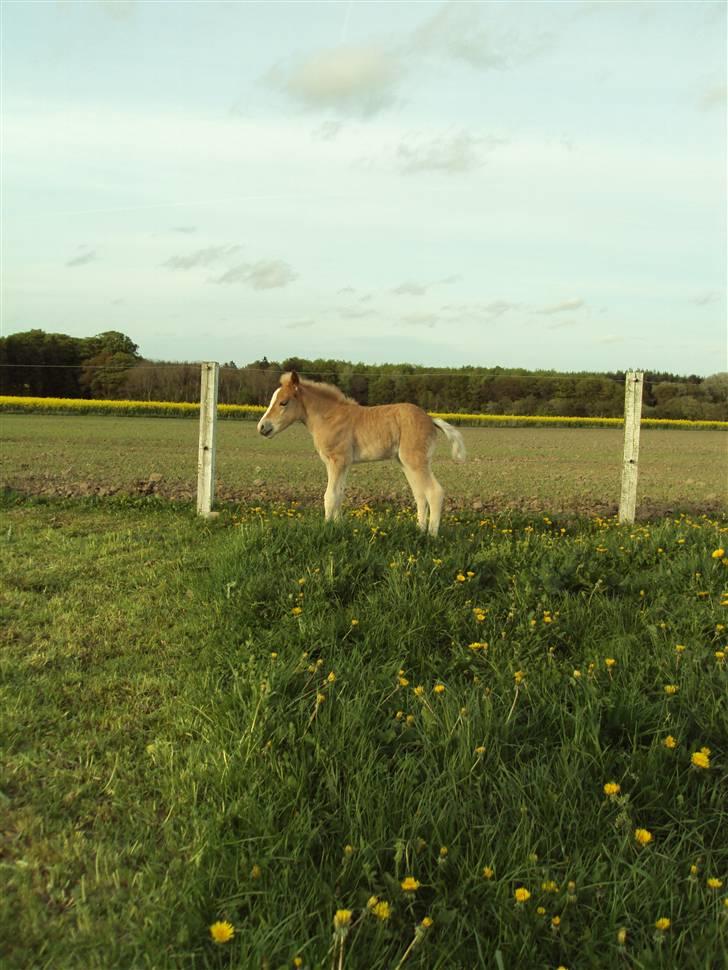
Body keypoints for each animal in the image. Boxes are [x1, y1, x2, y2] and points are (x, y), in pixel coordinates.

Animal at [258, 370, 466, 536]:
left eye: (283, 402)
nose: (262, 427)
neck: (328, 416)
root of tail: (431, 419)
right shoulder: (342, 464)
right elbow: (339, 494)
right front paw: (338, 526)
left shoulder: (337, 461)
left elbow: (329, 496)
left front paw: (327, 528)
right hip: (406, 463)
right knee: (420, 495)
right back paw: (419, 530)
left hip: (415, 462)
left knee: (434, 492)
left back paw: (431, 536)